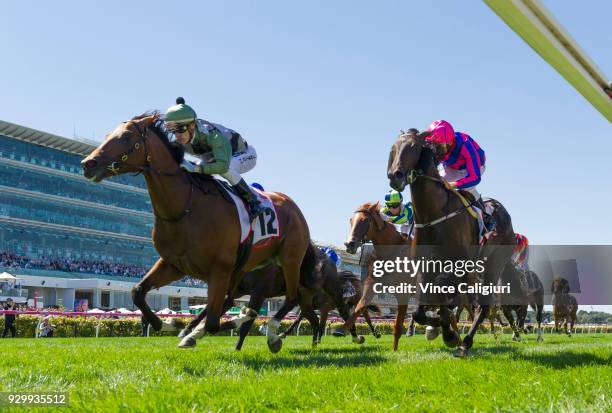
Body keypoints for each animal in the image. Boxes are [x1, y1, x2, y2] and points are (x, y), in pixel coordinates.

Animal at [80, 112, 310, 350]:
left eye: (126, 136)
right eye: (108, 135)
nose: (88, 163)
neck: (185, 206)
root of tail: (292, 205)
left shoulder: (219, 269)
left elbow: (214, 323)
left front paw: (236, 318)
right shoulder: (174, 264)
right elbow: (138, 292)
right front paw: (170, 324)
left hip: (290, 260)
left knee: (292, 298)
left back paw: (272, 334)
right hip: (243, 265)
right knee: (231, 300)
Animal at [180, 245, 364, 348]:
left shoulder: (258, 293)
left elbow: (247, 324)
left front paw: (237, 348)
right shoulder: (235, 293)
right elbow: (207, 311)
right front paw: (187, 331)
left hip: (332, 295)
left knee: (343, 313)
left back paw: (355, 337)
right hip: (305, 301)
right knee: (313, 320)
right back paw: (312, 343)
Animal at [388, 130, 516, 358]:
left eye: (413, 147)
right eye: (393, 148)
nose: (395, 176)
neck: (433, 214)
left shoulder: (457, 266)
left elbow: (443, 296)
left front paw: (448, 333)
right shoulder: (424, 265)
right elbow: (420, 310)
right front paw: (438, 326)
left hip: (494, 264)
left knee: (483, 306)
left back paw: (466, 342)